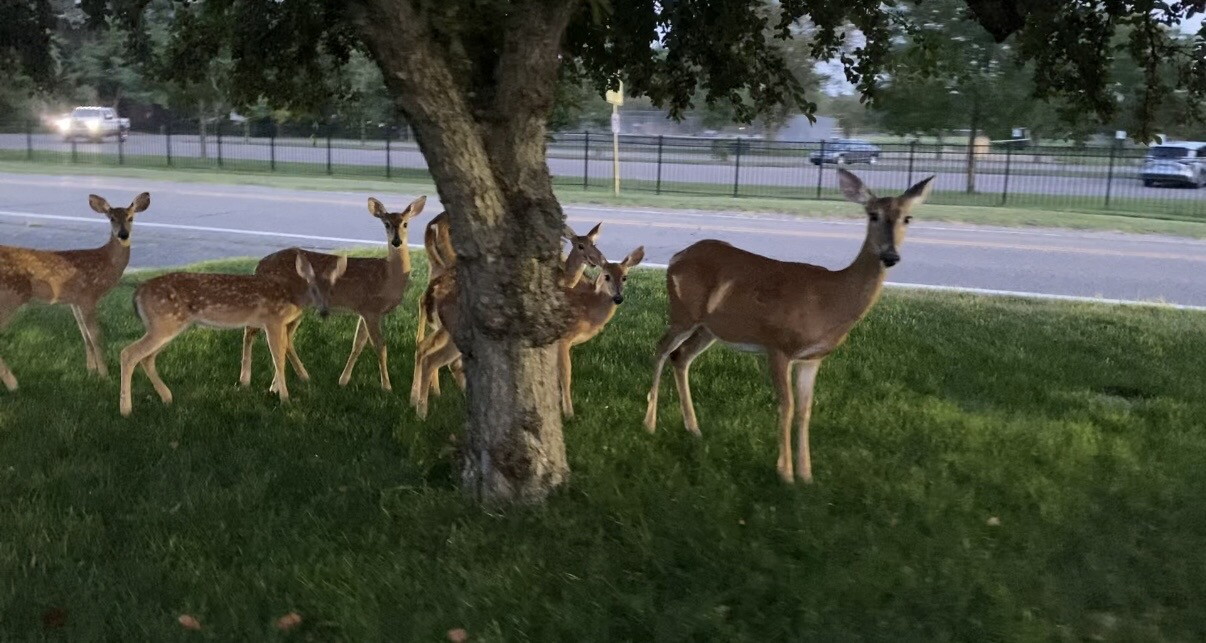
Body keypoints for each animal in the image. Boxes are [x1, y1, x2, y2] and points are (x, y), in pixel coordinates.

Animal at [0, 192, 150, 391]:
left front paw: (91, 370)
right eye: (111, 218)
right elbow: (95, 335)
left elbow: (84, 334)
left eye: (131, 218)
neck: (106, 263)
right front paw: (104, 375)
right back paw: (13, 384)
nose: (123, 234)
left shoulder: (75, 301)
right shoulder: (88, 296)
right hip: (11, 296)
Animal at [119, 252, 347, 416]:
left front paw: (276, 391)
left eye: (333, 290)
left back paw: (166, 398)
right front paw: (285, 399)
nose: (324, 311)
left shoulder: (278, 324)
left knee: (146, 358)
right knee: (128, 353)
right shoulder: (272, 320)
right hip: (163, 324)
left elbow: (281, 354)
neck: (291, 295)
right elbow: (278, 359)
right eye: (314, 289)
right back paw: (126, 410)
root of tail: (137, 293)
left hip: (169, 326)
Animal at [241, 195, 426, 392]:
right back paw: (246, 380)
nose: (396, 242)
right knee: (253, 330)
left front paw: (343, 380)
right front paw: (386, 386)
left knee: (284, 337)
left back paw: (289, 381)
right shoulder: (371, 309)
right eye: (386, 224)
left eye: (405, 223)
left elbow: (357, 344)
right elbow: (380, 346)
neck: (389, 276)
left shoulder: (364, 310)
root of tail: (259, 266)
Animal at [412, 246, 644, 420]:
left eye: (625, 277)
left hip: (448, 330)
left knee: (428, 350)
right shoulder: (563, 339)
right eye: (606, 276)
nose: (618, 298)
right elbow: (565, 375)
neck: (587, 308)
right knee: (434, 358)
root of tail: (438, 294)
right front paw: (568, 413)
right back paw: (422, 412)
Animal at [643, 168, 934, 484]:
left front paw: (806, 475)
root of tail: (676, 256)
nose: (890, 256)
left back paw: (694, 428)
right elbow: (787, 405)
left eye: (908, 217)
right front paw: (784, 472)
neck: (830, 299)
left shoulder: (813, 358)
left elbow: (805, 410)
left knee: (680, 356)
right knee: (660, 349)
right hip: (682, 312)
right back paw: (650, 423)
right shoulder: (778, 346)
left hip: (709, 329)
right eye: (873, 215)